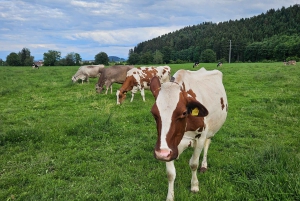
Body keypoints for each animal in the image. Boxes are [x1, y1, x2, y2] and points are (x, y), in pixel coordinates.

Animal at [149, 67, 229, 201]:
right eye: (154, 113)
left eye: (183, 113)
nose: (161, 154)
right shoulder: (169, 146)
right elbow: (170, 173)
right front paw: (170, 196)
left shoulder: (200, 138)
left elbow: (193, 164)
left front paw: (194, 186)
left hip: (211, 130)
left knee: (207, 144)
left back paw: (204, 165)